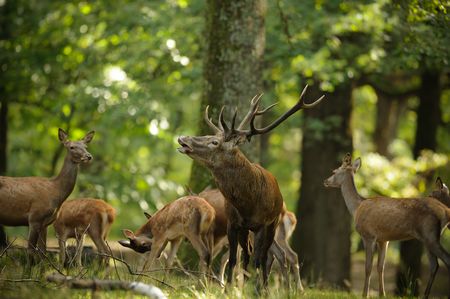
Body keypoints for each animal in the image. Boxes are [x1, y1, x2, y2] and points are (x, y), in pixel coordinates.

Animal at [0, 128, 94, 260]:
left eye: (85, 146)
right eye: (71, 147)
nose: (88, 156)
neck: (55, 191)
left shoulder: (45, 223)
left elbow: (43, 252)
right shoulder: (34, 217)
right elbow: (31, 251)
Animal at [177, 86, 324, 288]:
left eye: (214, 142)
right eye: (209, 136)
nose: (182, 138)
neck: (247, 203)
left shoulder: (262, 225)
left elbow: (257, 259)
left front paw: (256, 289)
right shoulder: (233, 223)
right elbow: (234, 259)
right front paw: (229, 288)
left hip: (273, 226)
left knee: (267, 257)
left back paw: (267, 287)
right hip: (248, 230)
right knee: (250, 255)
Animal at [324, 154, 450, 298]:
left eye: (334, 171)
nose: (325, 181)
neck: (356, 208)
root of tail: (445, 210)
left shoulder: (368, 235)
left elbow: (368, 267)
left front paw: (365, 294)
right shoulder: (384, 240)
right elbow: (380, 267)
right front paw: (382, 294)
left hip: (429, 234)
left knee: (446, 260)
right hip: (429, 237)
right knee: (434, 265)